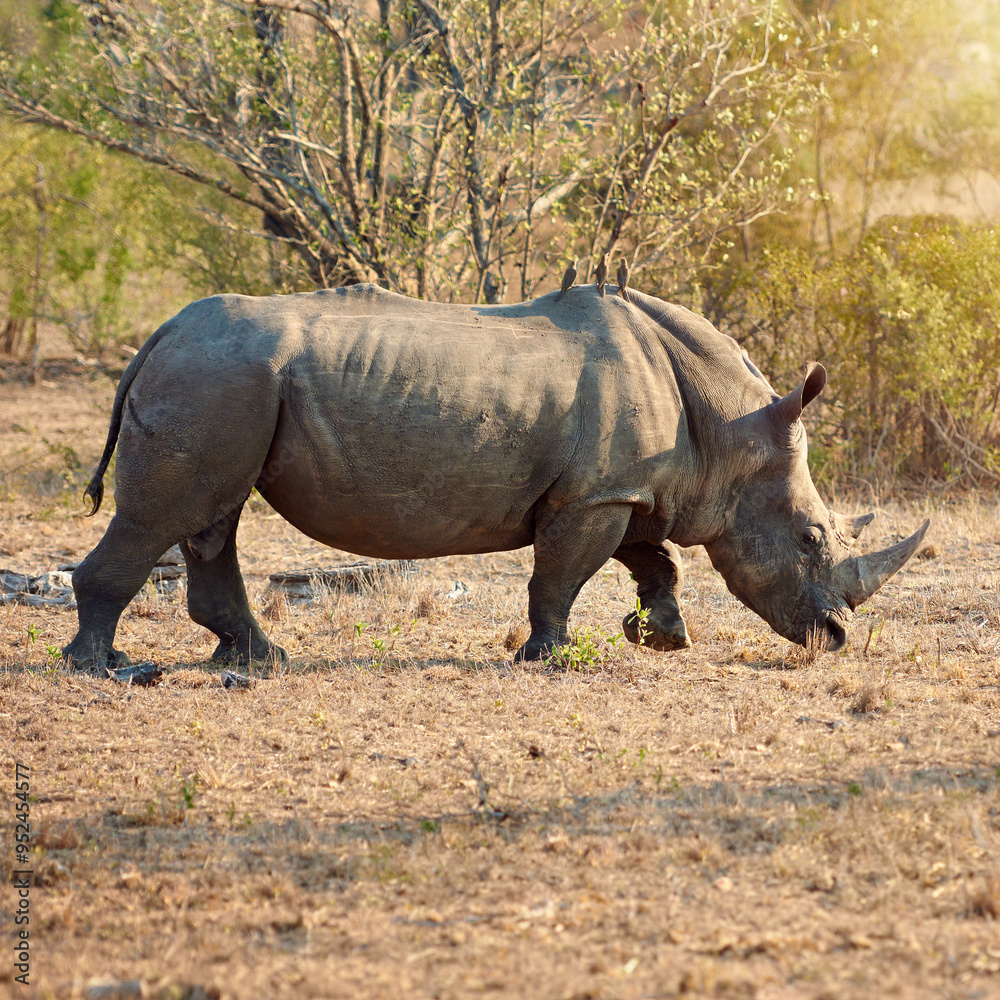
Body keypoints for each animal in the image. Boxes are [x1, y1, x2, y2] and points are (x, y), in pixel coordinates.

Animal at [62, 283, 928, 671]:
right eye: (811, 538)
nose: (836, 639)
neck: (729, 428)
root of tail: (159, 332)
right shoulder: (596, 495)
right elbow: (560, 575)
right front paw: (544, 657)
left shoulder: (622, 487)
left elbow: (656, 559)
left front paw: (662, 638)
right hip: (216, 379)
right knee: (165, 517)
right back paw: (105, 667)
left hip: (225, 381)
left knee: (212, 519)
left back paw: (256, 661)